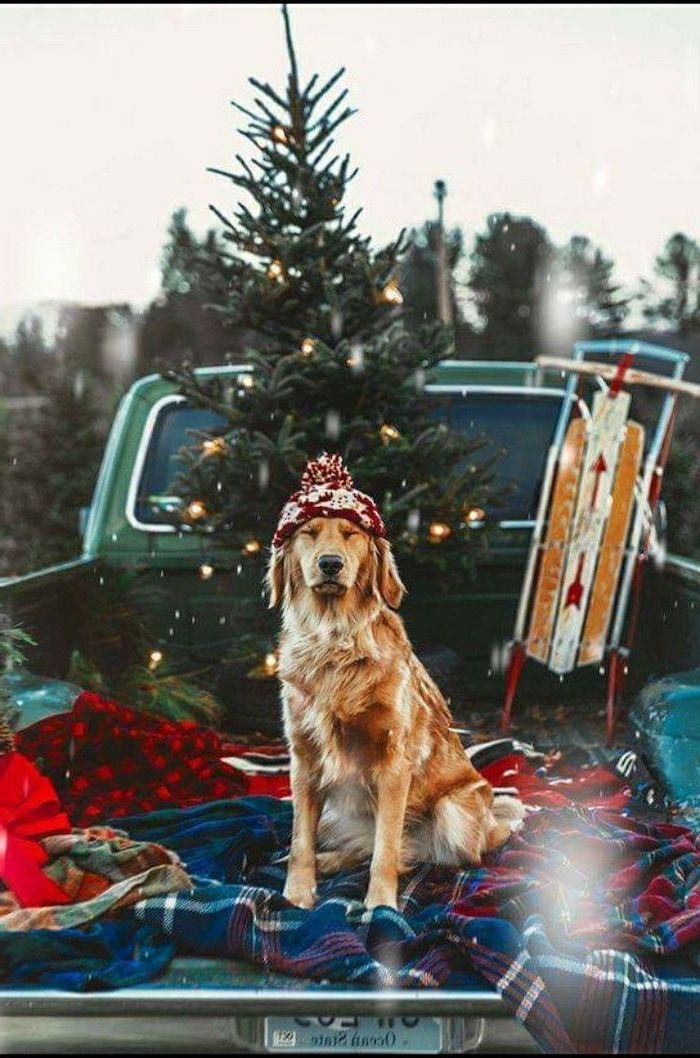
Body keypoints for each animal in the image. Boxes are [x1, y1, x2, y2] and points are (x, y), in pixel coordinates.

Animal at [268, 514, 526, 909]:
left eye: (351, 534)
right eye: (308, 533)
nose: (330, 564)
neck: (335, 641)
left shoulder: (393, 764)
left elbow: (386, 848)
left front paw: (381, 905)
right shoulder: (304, 760)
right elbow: (301, 841)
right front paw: (297, 894)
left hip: (452, 812)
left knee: (429, 854)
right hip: (332, 814)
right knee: (369, 847)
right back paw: (330, 860)